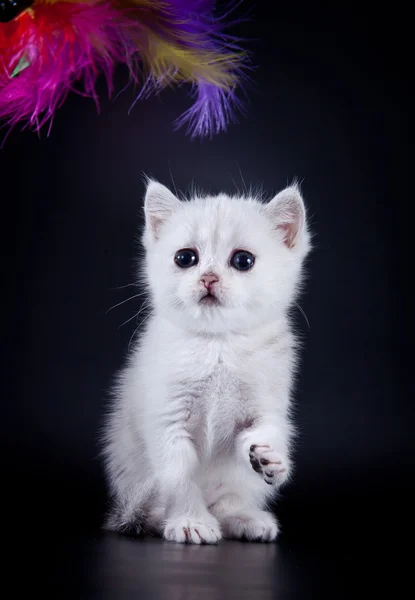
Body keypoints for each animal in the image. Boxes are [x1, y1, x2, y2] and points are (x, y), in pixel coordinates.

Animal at [102, 178, 312, 544]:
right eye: (186, 258)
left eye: (243, 260)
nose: (208, 278)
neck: (218, 346)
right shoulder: (167, 418)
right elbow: (180, 478)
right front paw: (190, 521)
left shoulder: (264, 406)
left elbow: (263, 432)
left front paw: (270, 458)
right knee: (154, 510)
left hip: (236, 486)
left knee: (227, 503)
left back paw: (245, 518)